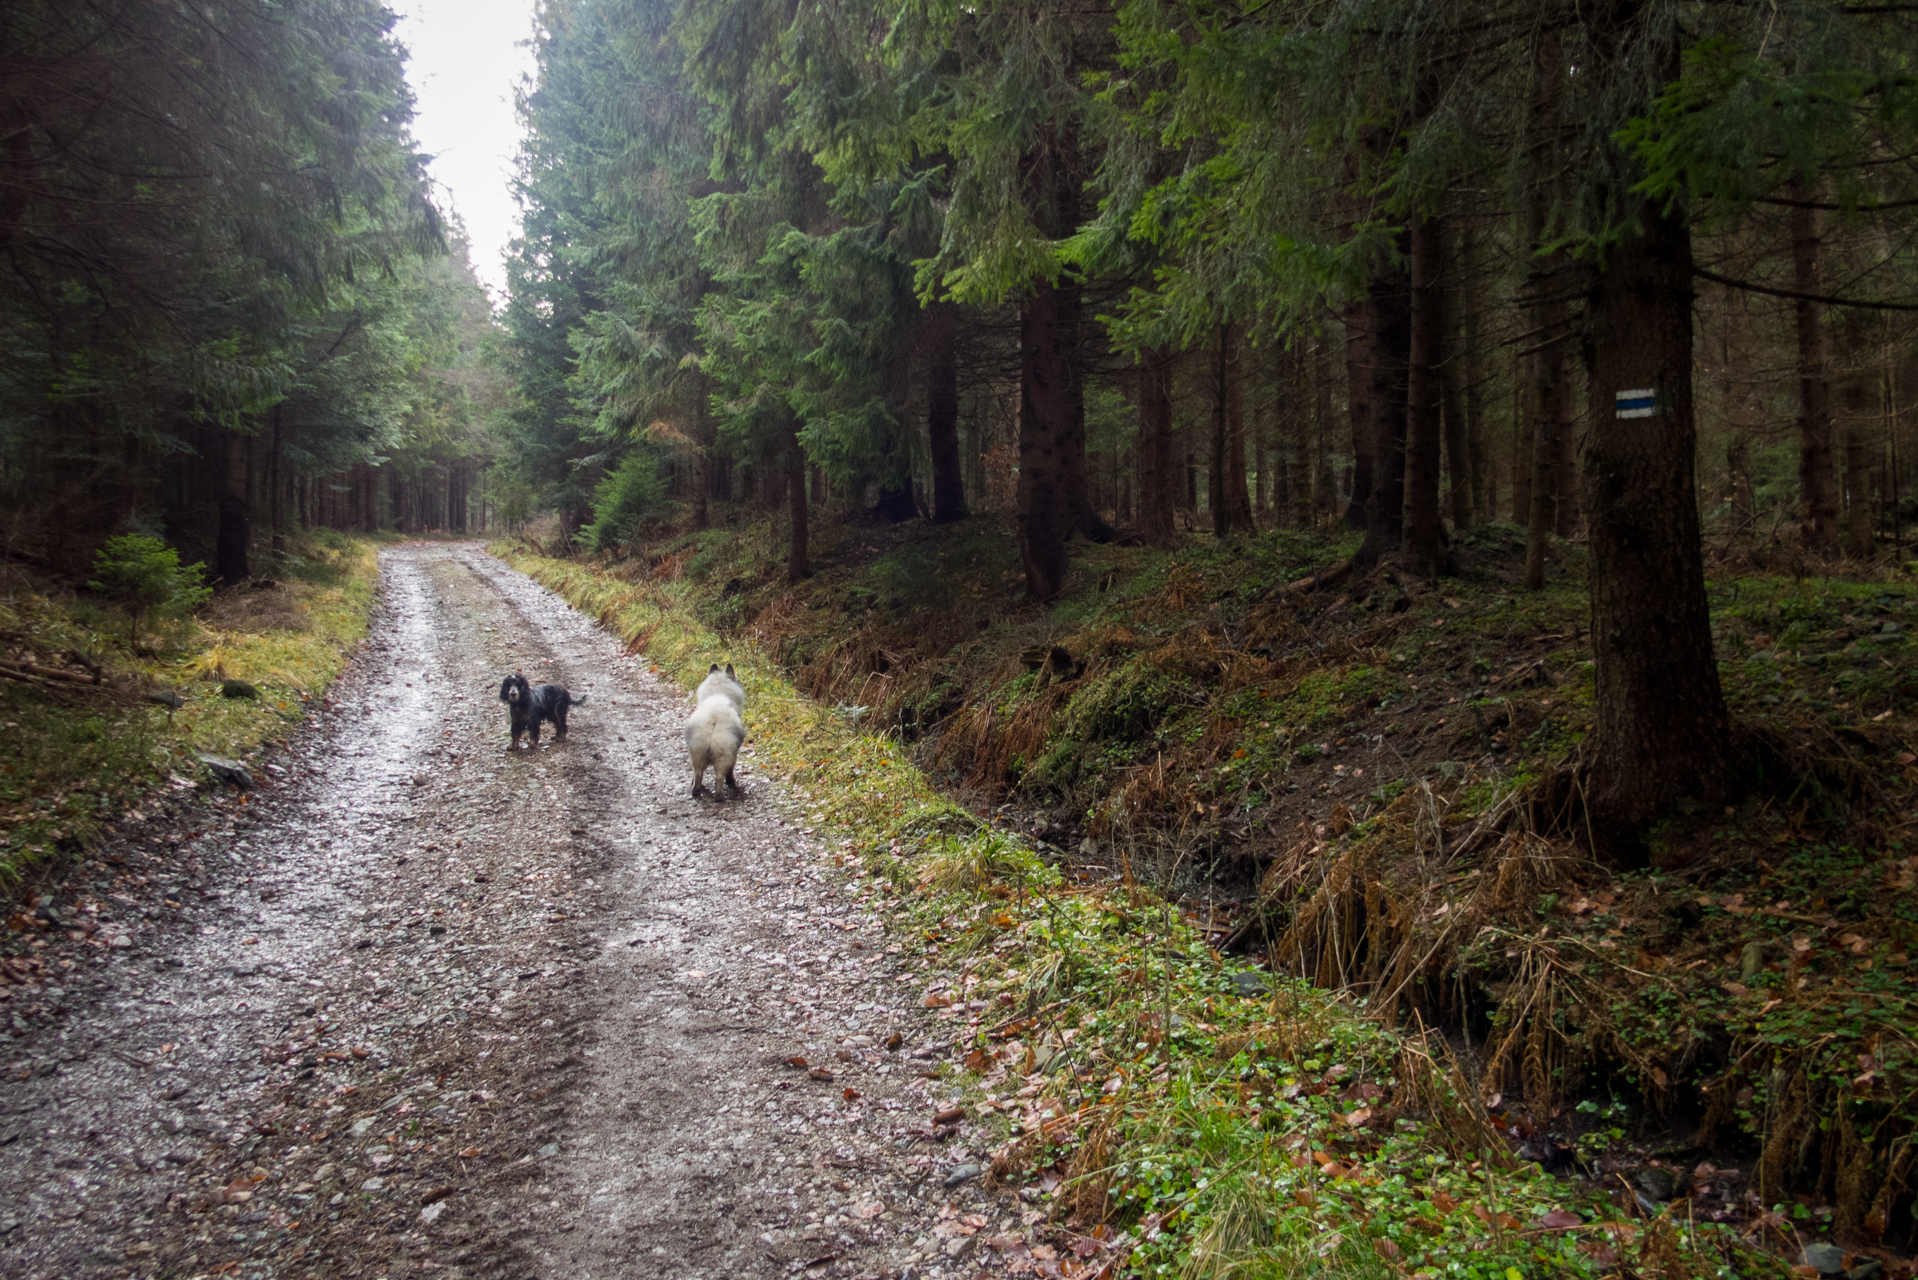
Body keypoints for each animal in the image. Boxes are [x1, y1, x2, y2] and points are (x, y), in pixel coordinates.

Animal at [686, 660, 744, 802]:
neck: (718, 693)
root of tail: (712, 722)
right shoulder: (734, 753)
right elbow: (730, 771)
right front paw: (732, 782)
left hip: (696, 754)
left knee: (698, 774)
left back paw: (696, 791)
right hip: (724, 756)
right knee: (719, 777)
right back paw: (720, 796)